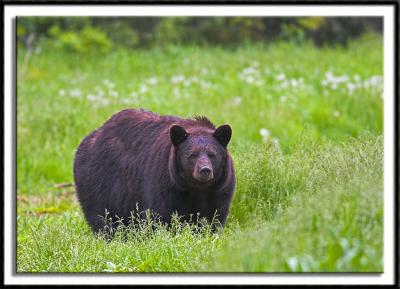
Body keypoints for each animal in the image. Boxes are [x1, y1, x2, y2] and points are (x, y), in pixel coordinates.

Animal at [72, 109, 234, 233]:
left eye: (212, 154)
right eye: (192, 154)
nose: (205, 170)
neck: (195, 188)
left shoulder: (219, 188)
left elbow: (214, 216)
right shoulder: (165, 183)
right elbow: (162, 215)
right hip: (97, 182)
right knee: (101, 216)